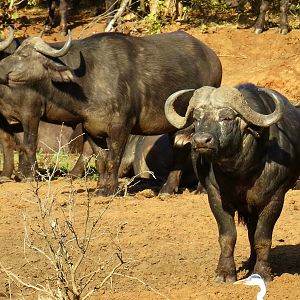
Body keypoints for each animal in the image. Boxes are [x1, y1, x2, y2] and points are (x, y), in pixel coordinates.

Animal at [0, 29, 221, 195]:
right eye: (15, 51)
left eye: (24, 55)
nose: (1, 69)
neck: (89, 79)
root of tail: (214, 59)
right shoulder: (90, 128)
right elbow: (101, 159)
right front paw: (100, 188)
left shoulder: (120, 127)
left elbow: (114, 158)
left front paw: (111, 189)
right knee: (180, 150)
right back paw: (168, 189)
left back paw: (200, 189)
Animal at [164, 84, 300, 282]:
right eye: (196, 118)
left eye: (226, 117)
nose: (201, 141)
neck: (241, 171)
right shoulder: (216, 197)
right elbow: (228, 236)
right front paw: (225, 272)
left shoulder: (274, 198)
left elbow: (262, 238)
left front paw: (262, 273)